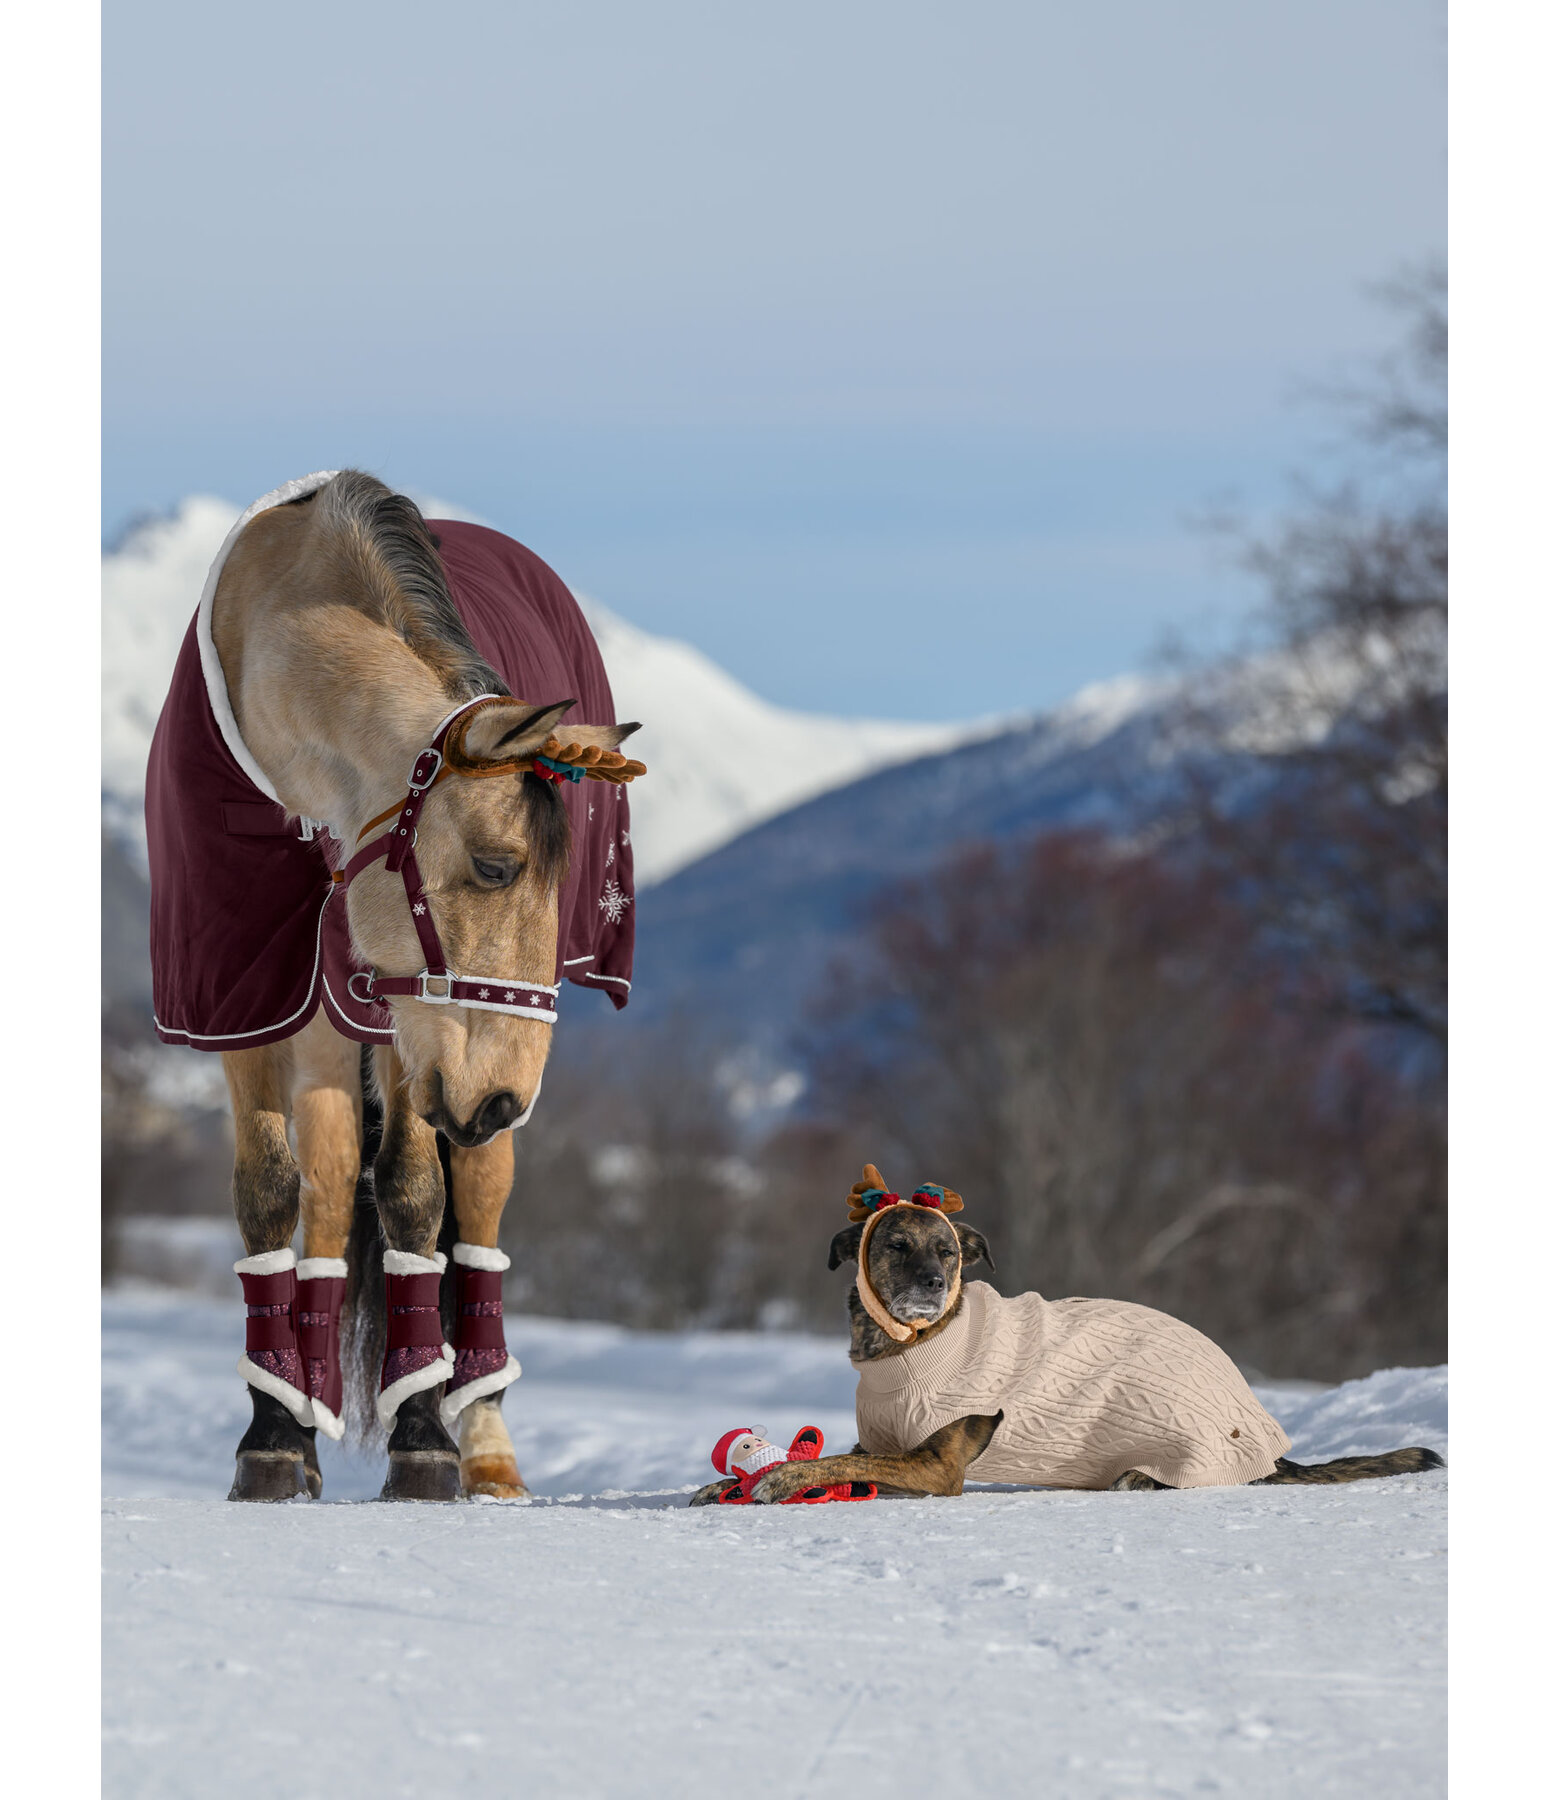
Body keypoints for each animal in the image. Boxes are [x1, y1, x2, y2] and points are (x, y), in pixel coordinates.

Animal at [148, 471, 644, 1497]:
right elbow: (273, 1193)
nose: (500, 1099)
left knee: (475, 1210)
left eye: (564, 881)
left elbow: (414, 1196)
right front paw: (274, 1439)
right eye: (495, 867)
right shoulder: (241, 999)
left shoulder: (404, 1025)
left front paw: (423, 1439)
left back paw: (482, 1441)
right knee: (334, 1187)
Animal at [687, 1166, 1440, 1504]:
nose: (931, 1282)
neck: (907, 1345)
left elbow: (836, 1466)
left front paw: (782, 1478)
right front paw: (730, 1483)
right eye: (896, 1245)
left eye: (950, 1253)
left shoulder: (936, 1468)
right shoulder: (889, 1444)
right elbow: (844, 1458)